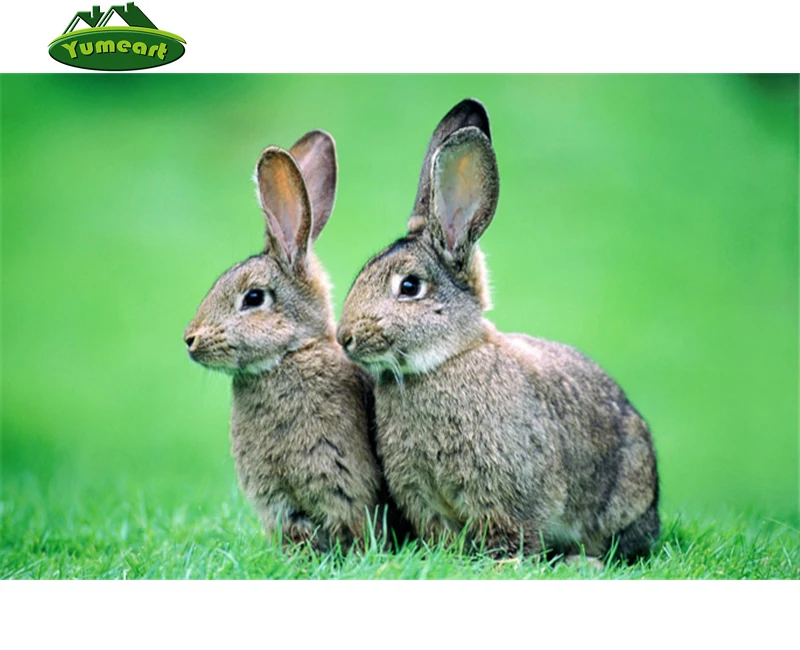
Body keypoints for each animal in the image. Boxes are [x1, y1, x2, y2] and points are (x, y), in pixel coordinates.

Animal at [336, 99, 660, 563]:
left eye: (410, 287)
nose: (344, 337)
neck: (444, 361)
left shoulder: (505, 490)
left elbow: (509, 531)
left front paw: (502, 563)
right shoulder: (422, 495)